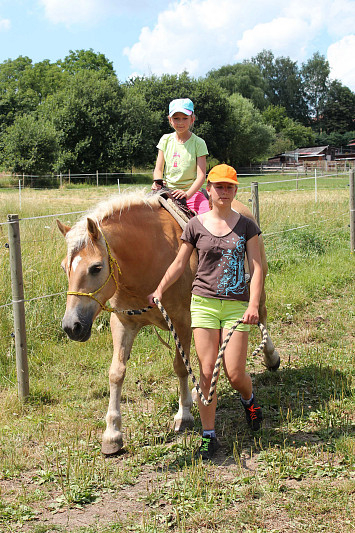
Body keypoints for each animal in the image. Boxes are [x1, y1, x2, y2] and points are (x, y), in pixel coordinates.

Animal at [57, 188, 280, 454]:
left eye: (96, 267)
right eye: (65, 268)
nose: (72, 326)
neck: (148, 261)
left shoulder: (182, 320)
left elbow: (180, 366)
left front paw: (184, 415)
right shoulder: (123, 323)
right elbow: (116, 373)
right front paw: (112, 434)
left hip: (258, 284)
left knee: (261, 314)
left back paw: (271, 358)